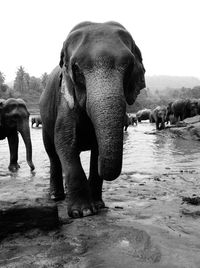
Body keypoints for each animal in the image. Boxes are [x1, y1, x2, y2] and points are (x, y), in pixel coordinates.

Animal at [39, 20, 145, 218]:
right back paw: (56, 196)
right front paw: (83, 211)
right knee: (53, 154)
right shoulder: (65, 102)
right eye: (76, 68)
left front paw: (98, 206)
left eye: (129, 65)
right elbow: (65, 143)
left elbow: (96, 149)